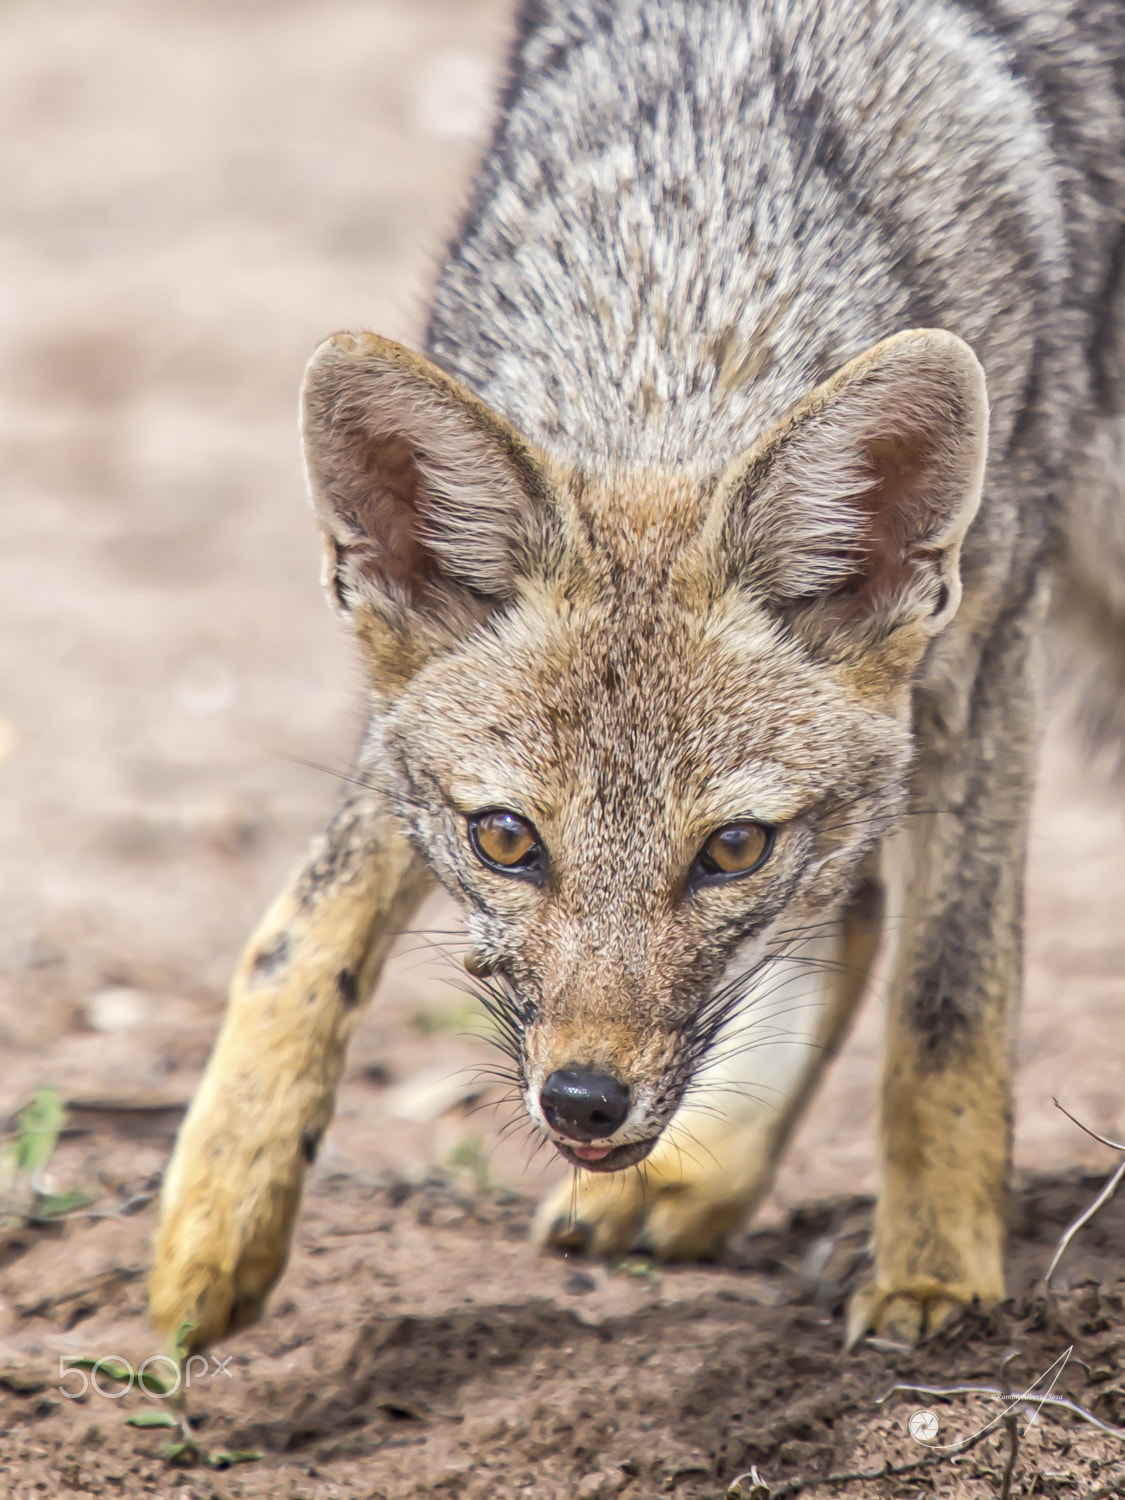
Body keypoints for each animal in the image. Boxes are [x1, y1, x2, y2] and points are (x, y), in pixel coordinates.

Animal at [150, 0, 1125, 1356]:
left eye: (732, 850)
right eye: (507, 840)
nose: (583, 1103)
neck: (685, 304)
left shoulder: (990, 653)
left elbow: (950, 999)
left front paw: (936, 1272)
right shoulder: (402, 739)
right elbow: (300, 934)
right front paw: (220, 1214)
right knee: (855, 906)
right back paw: (699, 1175)